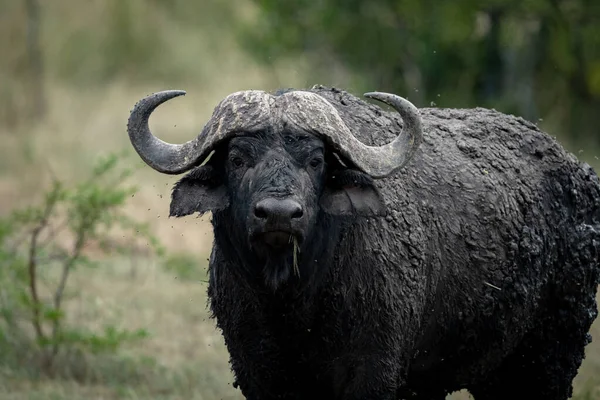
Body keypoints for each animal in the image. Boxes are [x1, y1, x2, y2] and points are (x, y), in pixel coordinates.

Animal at [126, 85, 600, 400]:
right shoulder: (257, 369)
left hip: (550, 356)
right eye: (238, 158)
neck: (295, 305)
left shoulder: (373, 369)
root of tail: (578, 173)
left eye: (316, 160)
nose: (278, 214)